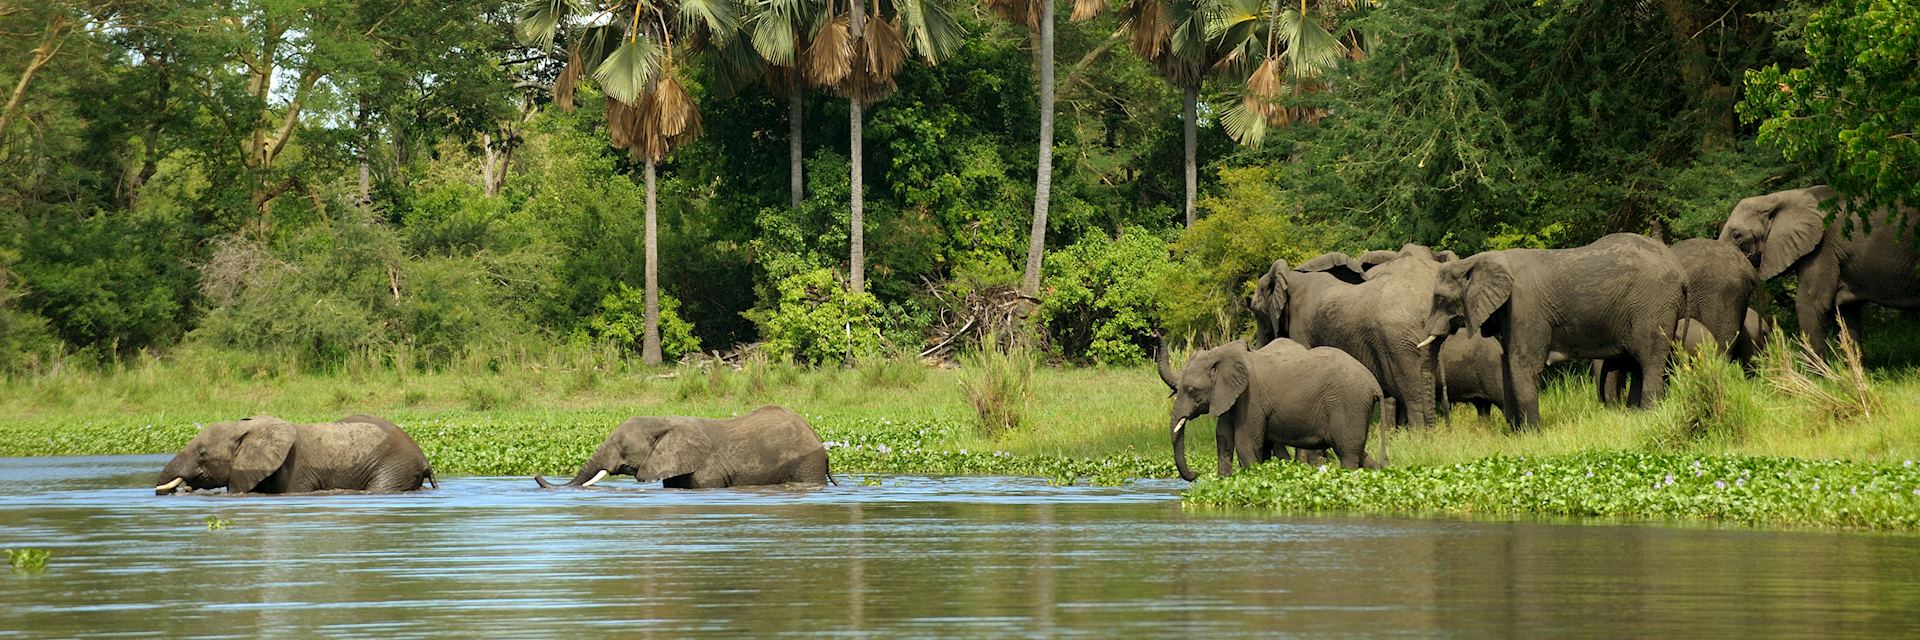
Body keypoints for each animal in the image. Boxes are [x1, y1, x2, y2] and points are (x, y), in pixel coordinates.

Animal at [1152, 338, 1382, 478]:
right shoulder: (1229, 397)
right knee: (1359, 452)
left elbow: (1246, 444)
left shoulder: (1251, 398)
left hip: (1349, 404)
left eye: (1191, 390)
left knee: (1348, 453)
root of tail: (1374, 384)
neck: (1221, 354)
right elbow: (1224, 439)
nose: (1195, 474)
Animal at [1420, 231, 1689, 426]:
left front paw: (1531, 435)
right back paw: (1636, 415)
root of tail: (1681, 272)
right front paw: (1516, 433)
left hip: (1653, 305)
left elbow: (1523, 363)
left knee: (1650, 360)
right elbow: (1507, 362)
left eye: (1441, 299)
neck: (1477, 260)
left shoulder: (1524, 305)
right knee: (1638, 363)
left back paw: (1648, 414)